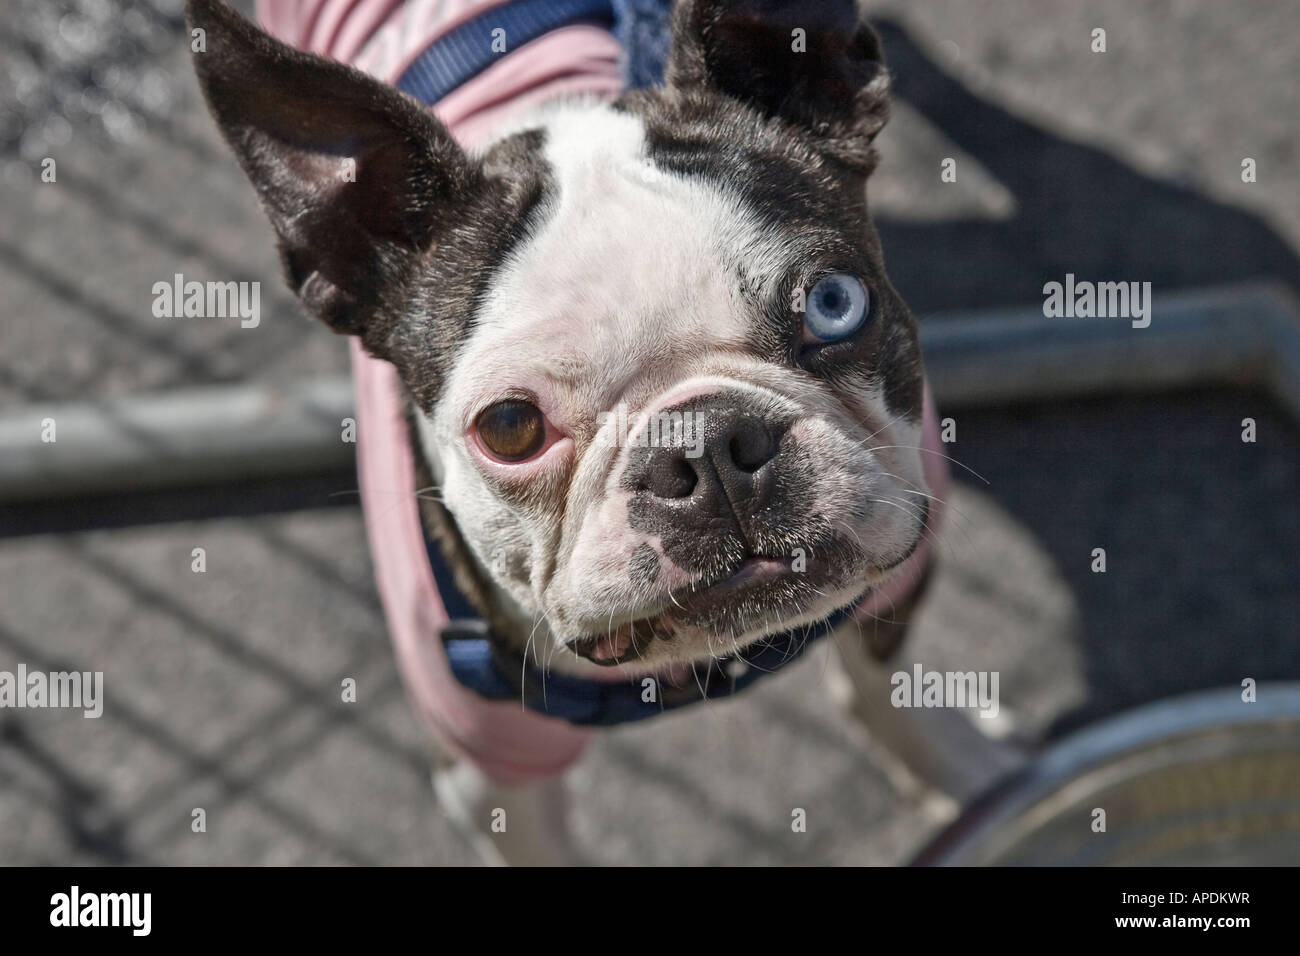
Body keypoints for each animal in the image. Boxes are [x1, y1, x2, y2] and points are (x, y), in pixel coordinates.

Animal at [188, 0, 972, 868]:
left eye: (835, 304)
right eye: (510, 427)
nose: (707, 445)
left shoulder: (901, 573)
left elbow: (883, 688)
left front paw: (961, 773)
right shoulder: (488, 771)